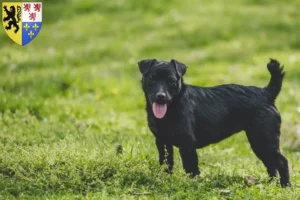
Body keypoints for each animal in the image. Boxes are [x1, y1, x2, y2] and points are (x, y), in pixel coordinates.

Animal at [138, 58, 290, 188]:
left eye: (171, 80)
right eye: (151, 79)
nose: (161, 96)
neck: (171, 109)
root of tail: (266, 93)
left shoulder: (186, 144)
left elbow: (191, 168)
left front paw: (192, 184)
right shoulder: (162, 141)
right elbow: (166, 163)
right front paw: (164, 179)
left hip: (263, 140)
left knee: (282, 161)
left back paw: (286, 186)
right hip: (259, 143)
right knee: (271, 164)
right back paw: (271, 183)